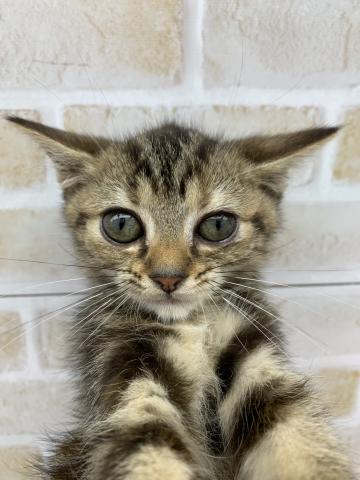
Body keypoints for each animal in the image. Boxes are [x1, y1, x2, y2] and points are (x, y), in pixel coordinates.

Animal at [6, 117, 354, 480]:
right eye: (121, 224)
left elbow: (295, 426)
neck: (191, 325)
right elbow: (145, 440)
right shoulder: (123, 361)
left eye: (218, 225)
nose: (168, 277)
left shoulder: (254, 353)